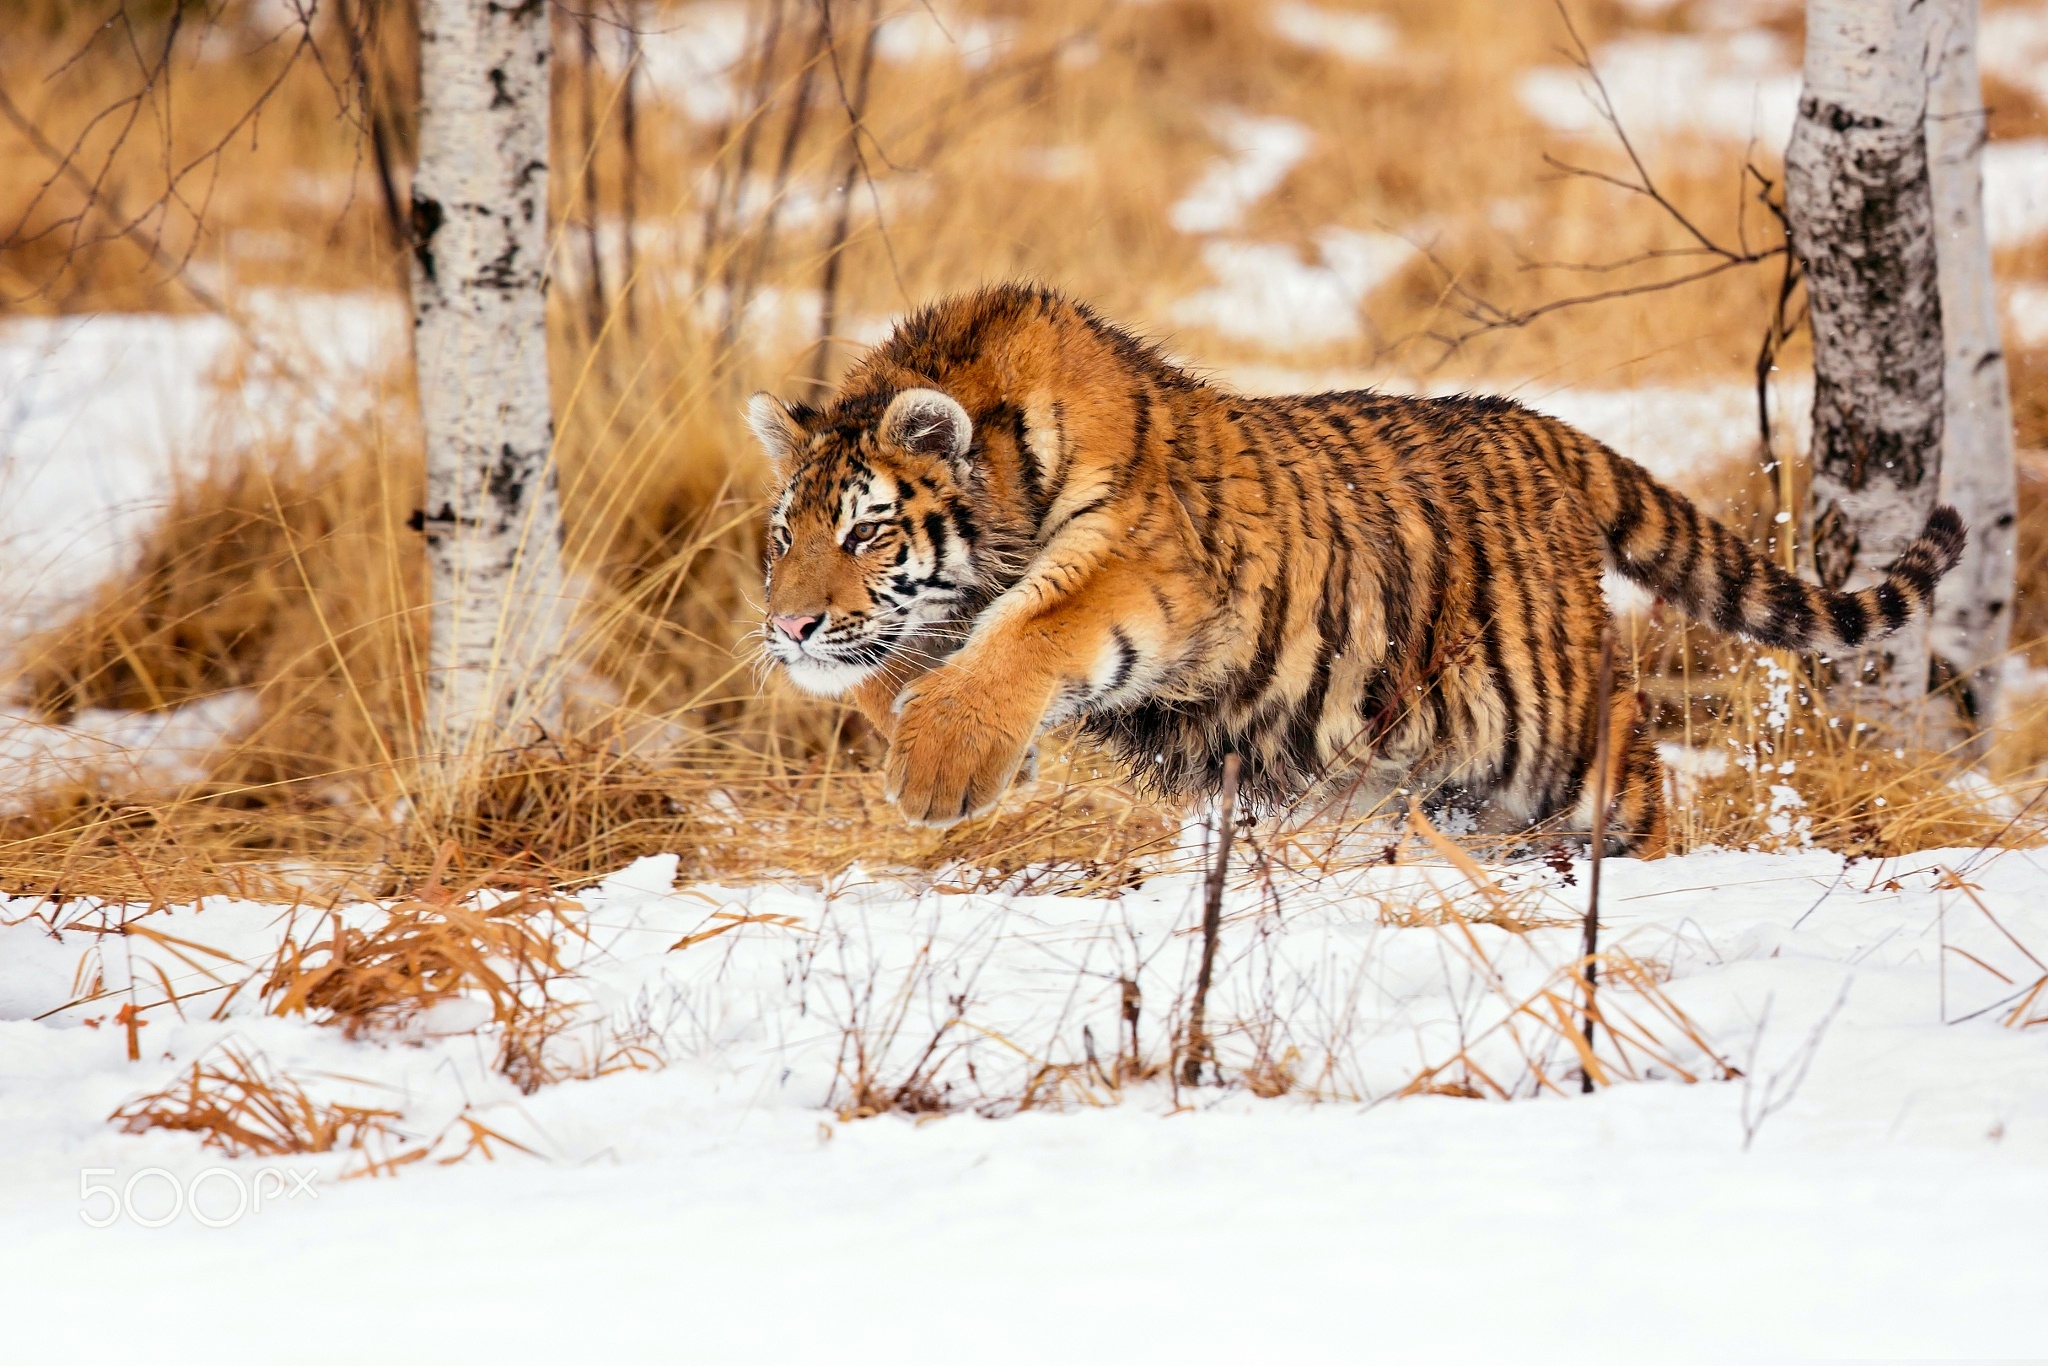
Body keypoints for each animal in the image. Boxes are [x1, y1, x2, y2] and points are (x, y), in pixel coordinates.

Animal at [749, 282, 1966, 847]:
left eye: (865, 532)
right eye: (784, 539)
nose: (791, 627)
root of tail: (1542, 429)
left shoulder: (1143, 569)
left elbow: (1036, 626)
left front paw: (937, 771)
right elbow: (909, 668)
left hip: (1557, 730)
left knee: (1643, 779)